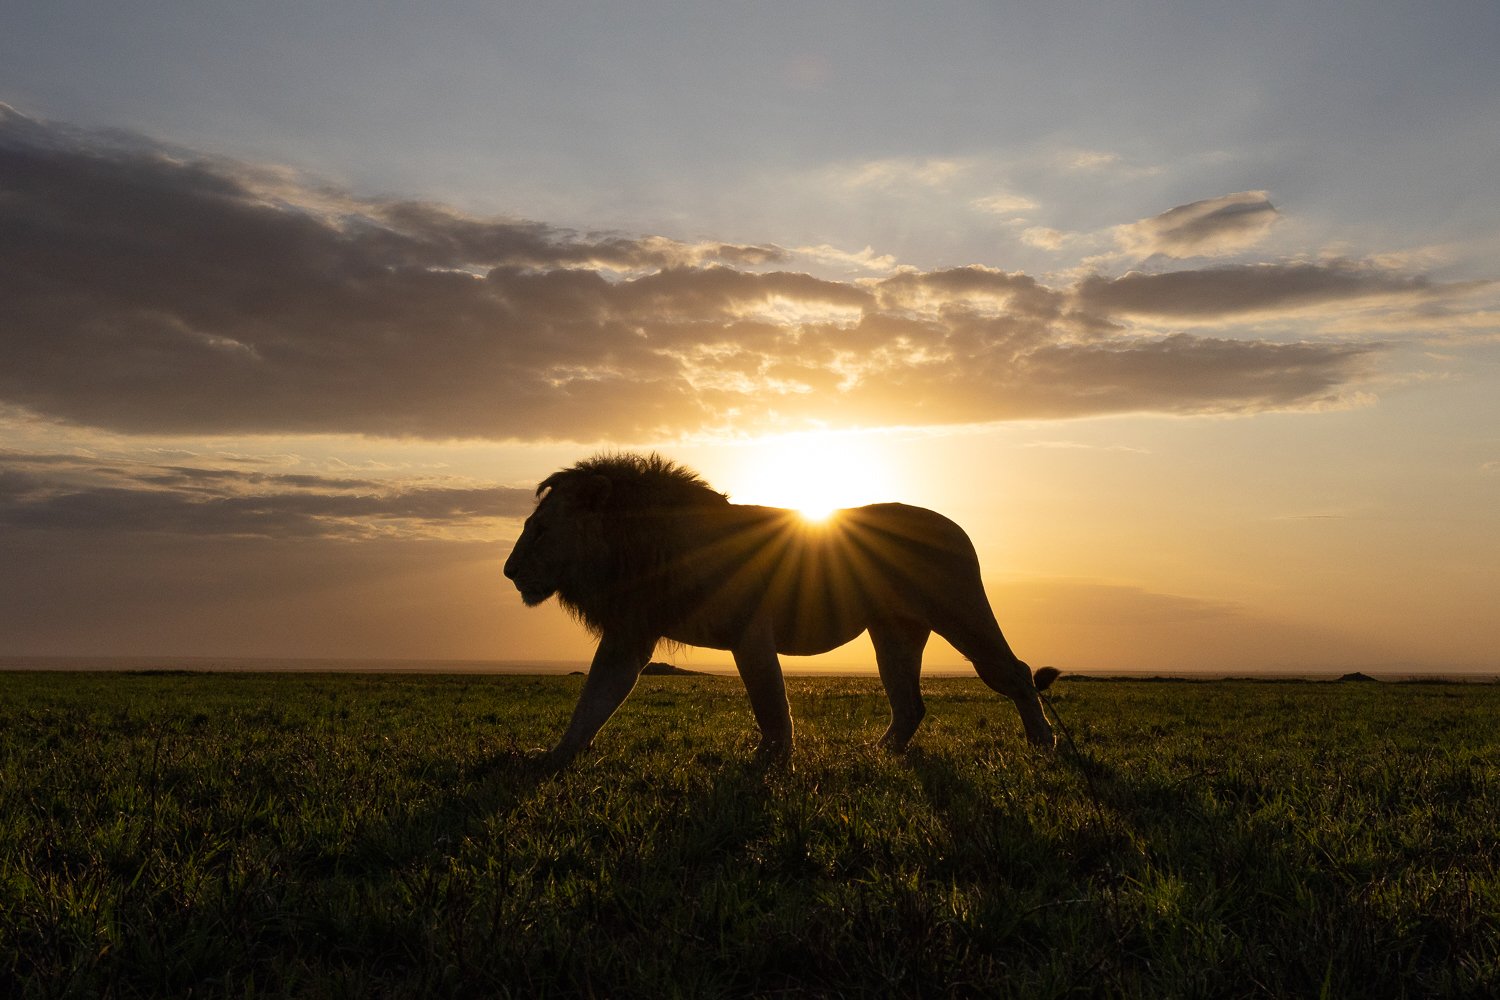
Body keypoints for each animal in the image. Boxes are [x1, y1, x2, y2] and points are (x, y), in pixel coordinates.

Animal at [503, 452, 1056, 766]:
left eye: (540, 530)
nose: (508, 572)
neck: (637, 548)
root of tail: (955, 525)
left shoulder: (750, 630)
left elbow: (770, 702)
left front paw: (772, 761)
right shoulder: (630, 634)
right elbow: (595, 699)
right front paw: (556, 756)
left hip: (960, 611)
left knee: (1015, 671)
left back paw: (1043, 743)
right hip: (894, 632)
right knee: (910, 704)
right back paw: (879, 754)